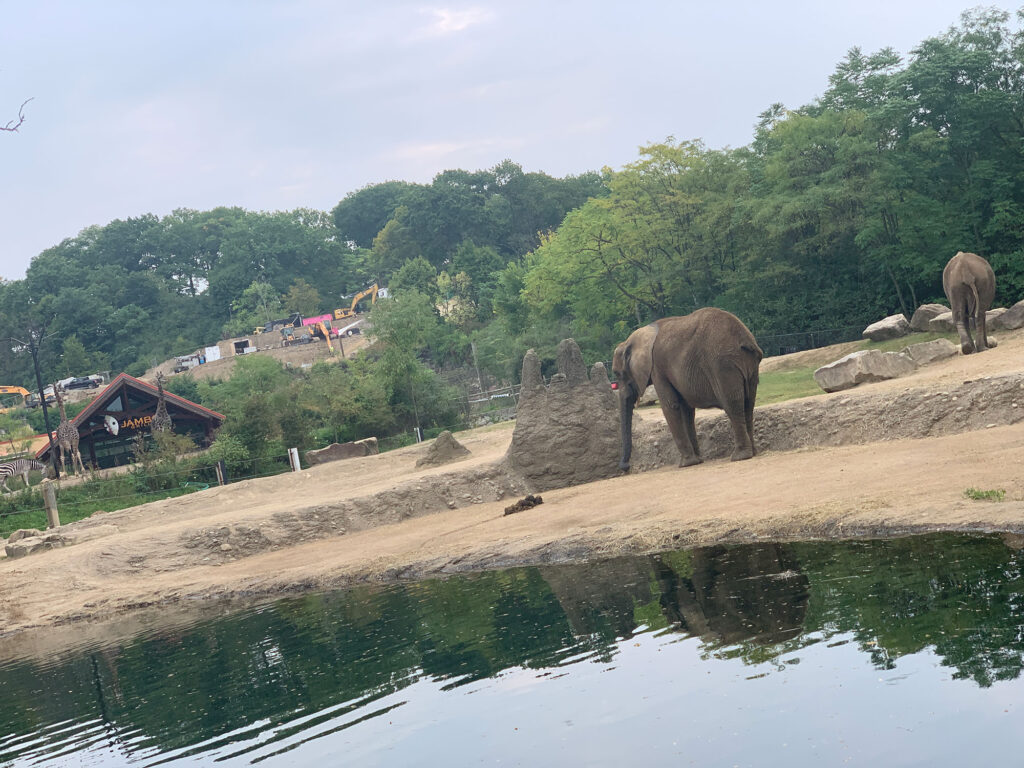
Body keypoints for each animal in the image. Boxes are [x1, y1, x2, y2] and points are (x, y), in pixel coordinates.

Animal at [610, 307, 765, 468]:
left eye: (617, 373)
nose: (625, 467)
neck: (635, 338)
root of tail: (745, 339)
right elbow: (686, 410)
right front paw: (697, 461)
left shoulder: (657, 368)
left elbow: (671, 406)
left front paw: (685, 463)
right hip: (749, 364)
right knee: (748, 403)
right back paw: (752, 452)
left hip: (723, 364)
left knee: (732, 404)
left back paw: (740, 456)